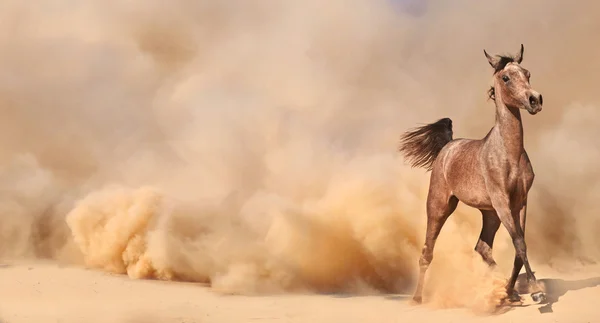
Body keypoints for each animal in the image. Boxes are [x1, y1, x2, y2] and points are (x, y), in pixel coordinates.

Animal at [398, 44, 548, 306]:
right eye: (506, 78)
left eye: (527, 73)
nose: (534, 100)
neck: (509, 153)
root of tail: (447, 147)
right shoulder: (503, 202)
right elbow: (519, 243)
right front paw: (536, 290)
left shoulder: (520, 202)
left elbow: (520, 248)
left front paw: (513, 291)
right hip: (440, 206)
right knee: (427, 252)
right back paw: (417, 298)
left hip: (490, 214)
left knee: (482, 248)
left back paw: (507, 291)